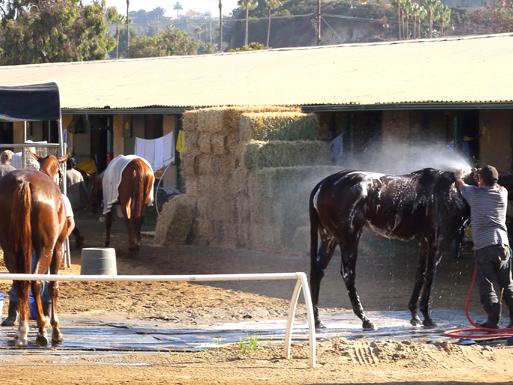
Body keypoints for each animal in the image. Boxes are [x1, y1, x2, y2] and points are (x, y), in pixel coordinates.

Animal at [0, 168, 69, 344]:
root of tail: (24, 181)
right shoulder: (57, 248)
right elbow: (53, 287)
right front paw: (56, 330)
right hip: (46, 249)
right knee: (35, 282)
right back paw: (42, 330)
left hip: (10, 252)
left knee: (21, 283)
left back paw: (22, 331)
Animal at [308, 168, 472, 330]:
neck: (451, 191)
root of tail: (323, 184)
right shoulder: (436, 242)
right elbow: (430, 276)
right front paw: (427, 317)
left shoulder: (424, 243)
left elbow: (420, 275)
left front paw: (414, 316)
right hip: (350, 238)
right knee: (348, 274)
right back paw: (365, 319)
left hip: (329, 238)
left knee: (318, 272)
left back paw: (317, 320)